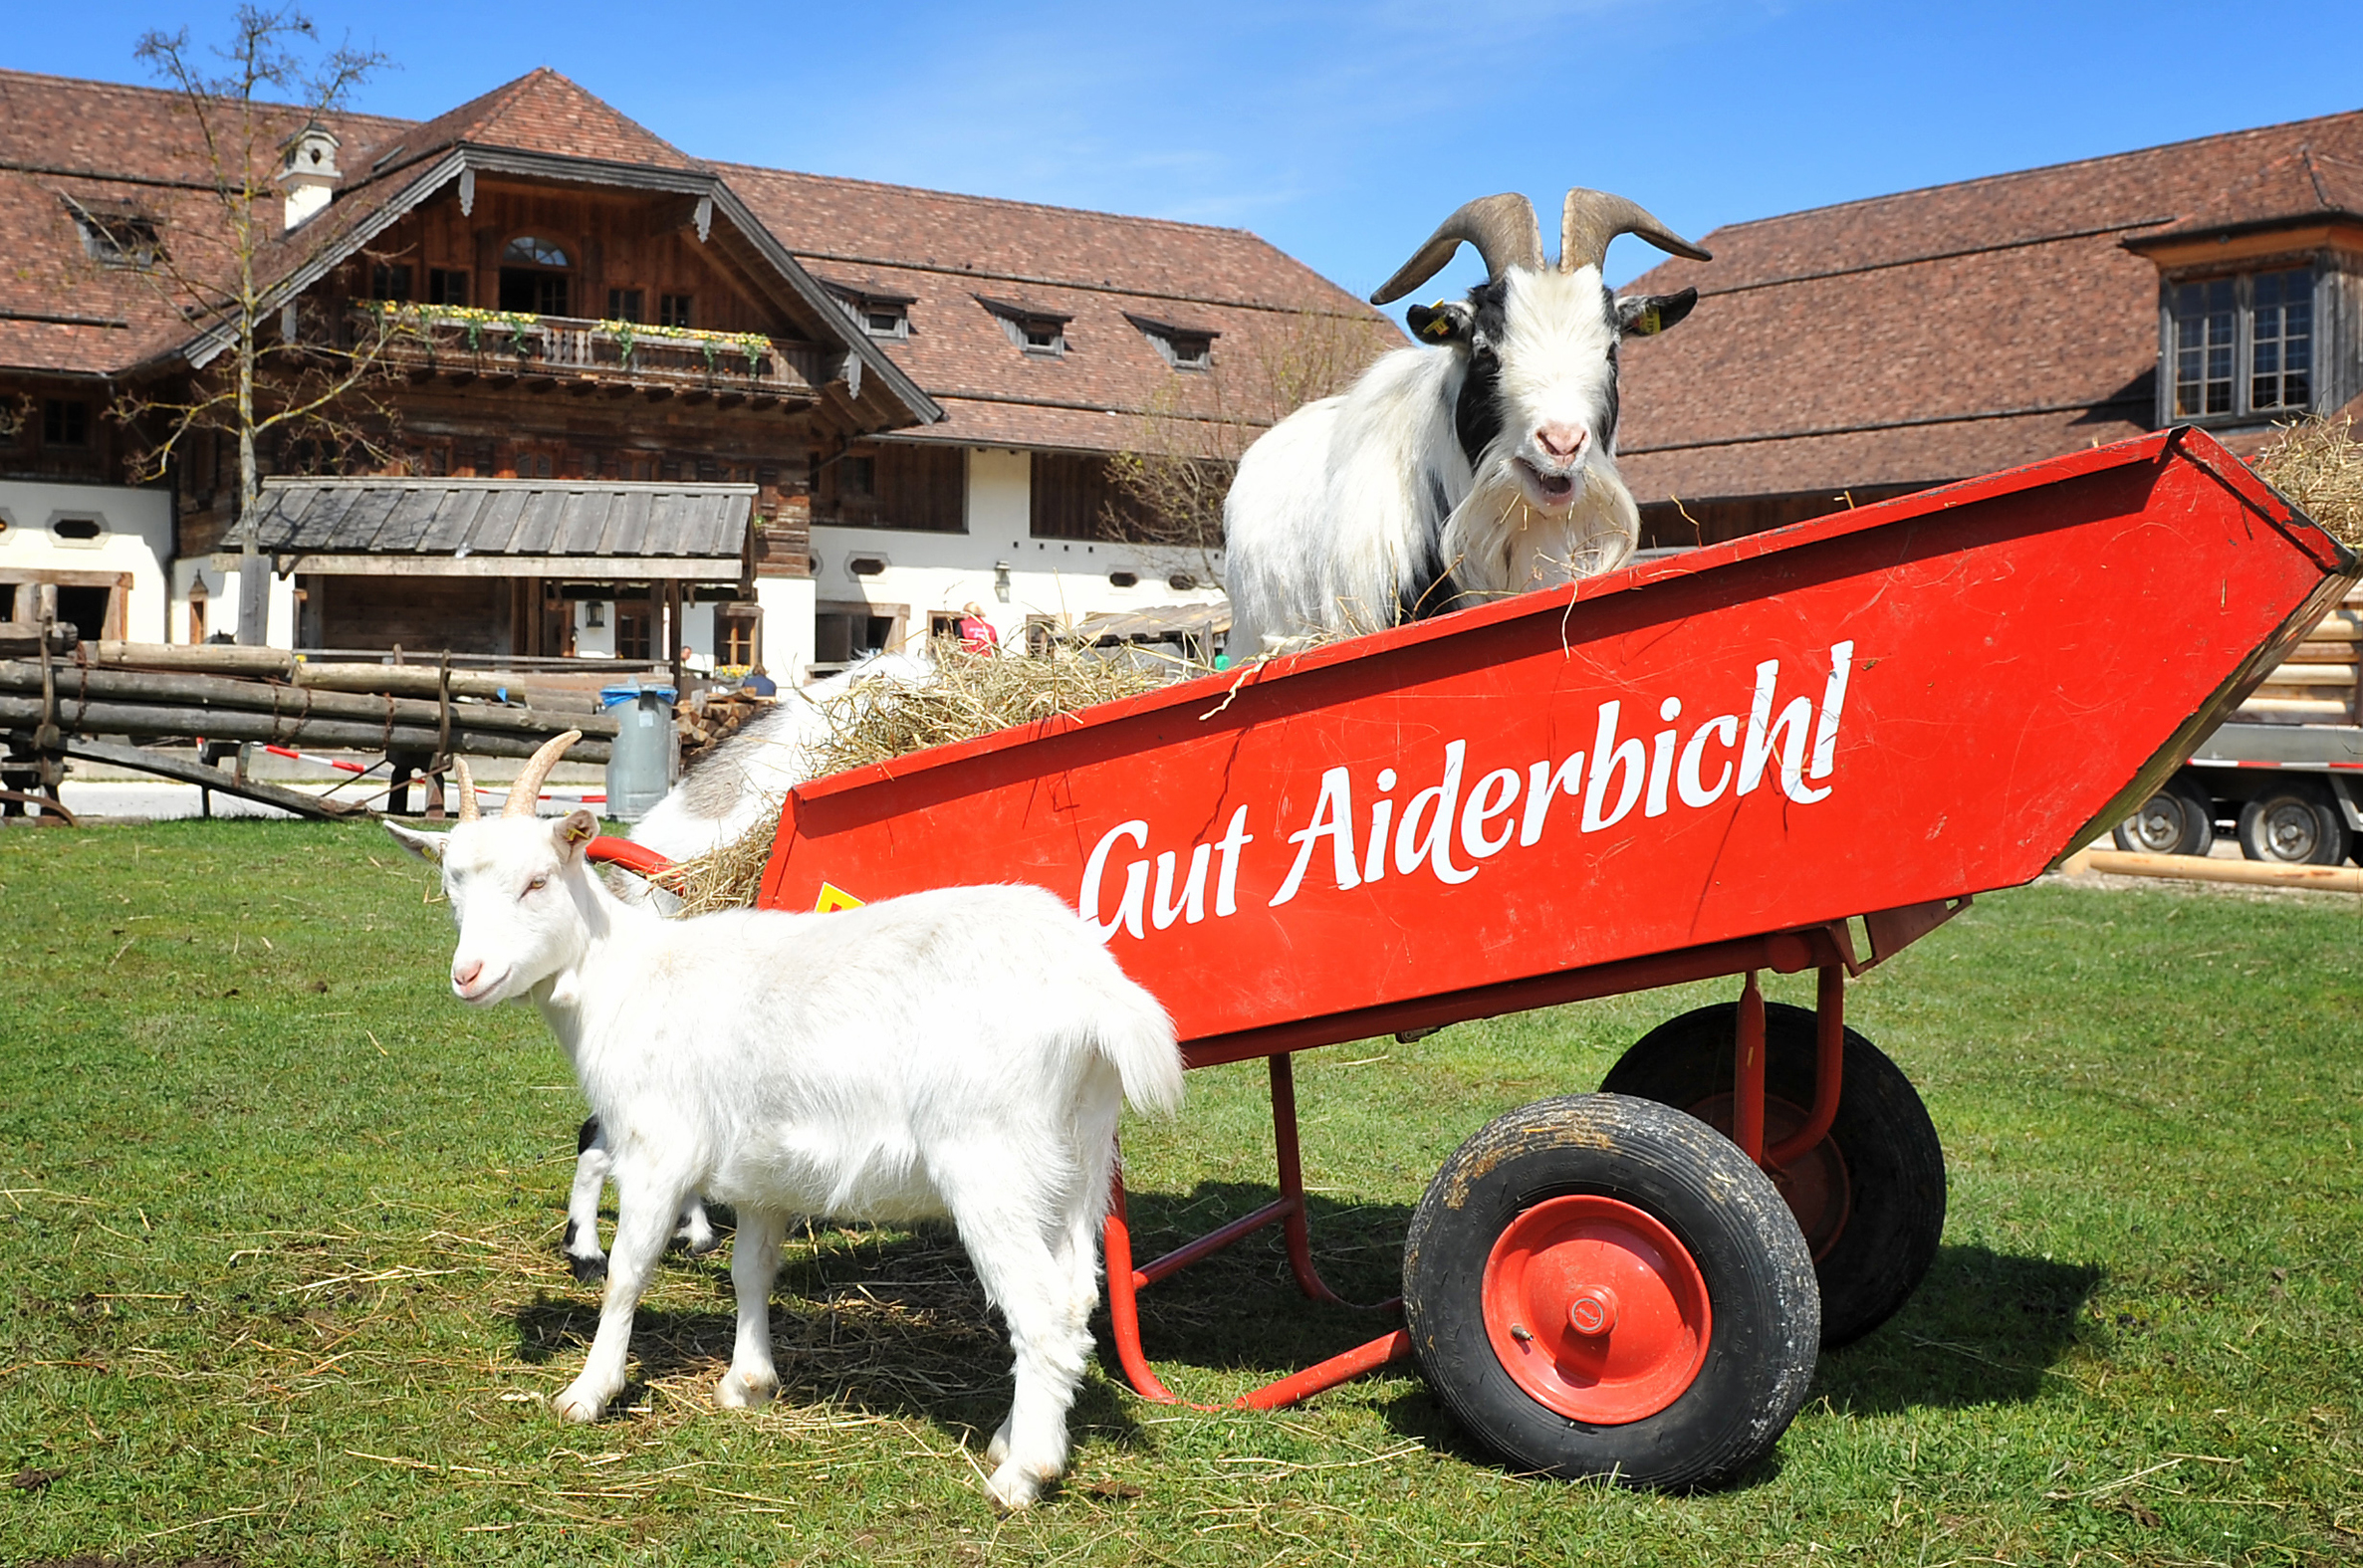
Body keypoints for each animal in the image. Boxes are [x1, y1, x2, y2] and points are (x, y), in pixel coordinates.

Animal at [385, 734, 1183, 1510]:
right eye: (452, 886)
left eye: (538, 881)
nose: (468, 975)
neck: (626, 979)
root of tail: (1093, 988)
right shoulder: (761, 1172)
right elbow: (750, 1270)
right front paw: (748, 1382)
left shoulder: (658, 1149)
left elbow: (628, 1273)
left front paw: (588, 1392)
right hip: (1077, 1160)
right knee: (1074, 1298)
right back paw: (1014, 1437)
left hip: (991, 1163)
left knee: (1040, 1312)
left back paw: (1024, 1474)